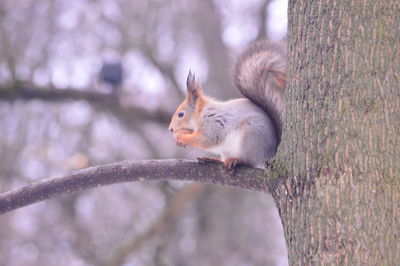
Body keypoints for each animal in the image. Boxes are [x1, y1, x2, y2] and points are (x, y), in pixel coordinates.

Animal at [167, 40, 286, 169]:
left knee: (250, 162)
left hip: (250, 139)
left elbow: (205, 139)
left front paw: (182, 137)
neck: (201, 113)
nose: (171, 129)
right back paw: (212, 159)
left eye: (181, 114)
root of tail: (269, 155)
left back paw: (236, 160)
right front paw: (182, 133)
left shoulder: (213, 125)